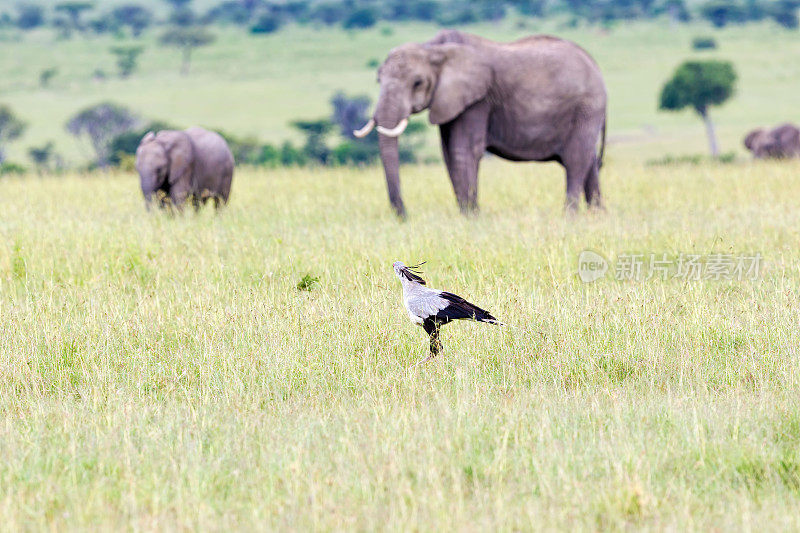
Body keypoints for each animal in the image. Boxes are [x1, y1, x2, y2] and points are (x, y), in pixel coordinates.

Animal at [354, 28, 608, 216]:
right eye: (378, 80)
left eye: (417, 83)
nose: (404, 215)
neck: (434, 49)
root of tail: (595, 65)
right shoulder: (449, 101)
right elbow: (449, 154)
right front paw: (466, 215)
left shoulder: (477, 100)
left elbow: (464, 150)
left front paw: (471, 217)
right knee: (589, 161)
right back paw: (597, 216)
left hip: (586, 108)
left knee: (576, 159)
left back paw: (570, 216)